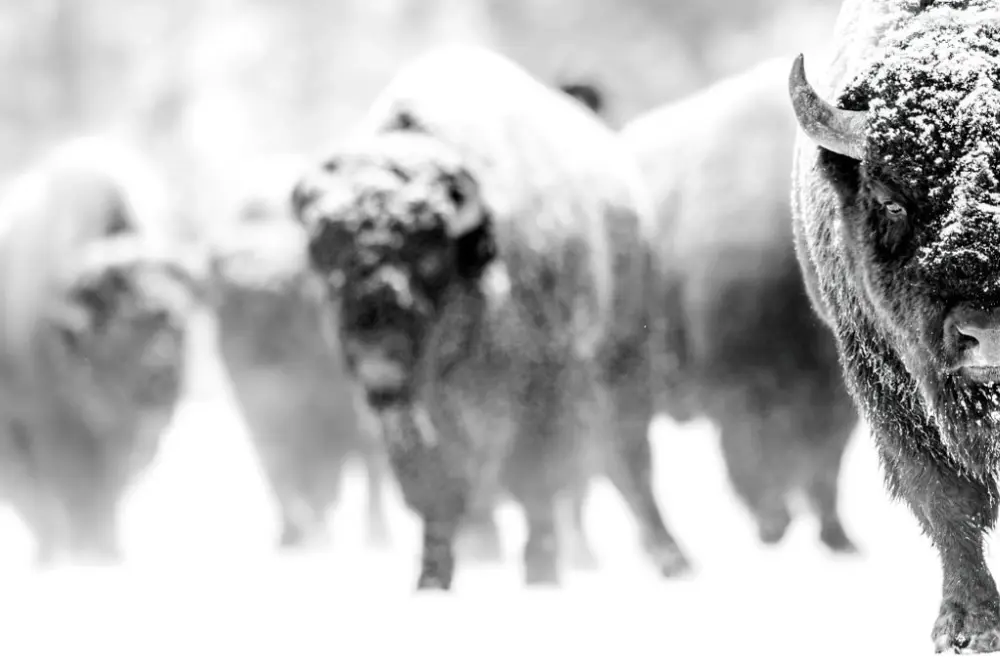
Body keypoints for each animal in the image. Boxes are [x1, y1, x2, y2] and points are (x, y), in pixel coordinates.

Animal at [0, 137, 202, 565]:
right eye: (116, 324)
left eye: (174, 320)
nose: (162, 377)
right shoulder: (54, 429)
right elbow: (78, 495)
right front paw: (90, 552)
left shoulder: (133, 437)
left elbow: (105, 495)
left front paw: (107, 552)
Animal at [290, 45, 691, 589]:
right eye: (325, 259)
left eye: (429, 258)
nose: (378, 360)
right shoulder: (414, 419)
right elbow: (435, 492)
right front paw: (431, 581)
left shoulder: (544, 392)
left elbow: (536, 483)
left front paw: (541, 574)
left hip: (623, 359)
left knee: (629, 461)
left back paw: (674, 560)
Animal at [620, 57, 860, 553]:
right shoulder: (741, 390)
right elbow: (756, 464)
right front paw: (774, 526)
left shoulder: (832, 401)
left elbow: (822, 470)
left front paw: (837, 538)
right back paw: (671, 552)